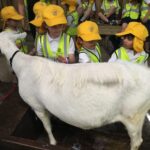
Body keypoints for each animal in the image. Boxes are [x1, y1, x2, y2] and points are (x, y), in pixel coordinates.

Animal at [0, 30, 150, 150]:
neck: (21, 63)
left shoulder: (36, 105)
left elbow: (47, 127)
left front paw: (52, 142)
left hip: (134, 116)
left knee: (137, 141)